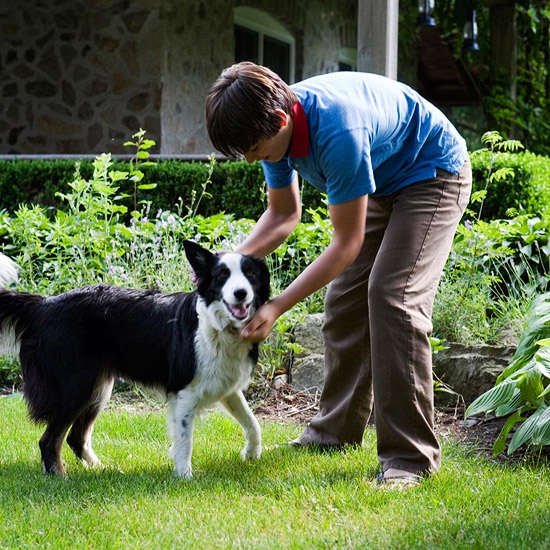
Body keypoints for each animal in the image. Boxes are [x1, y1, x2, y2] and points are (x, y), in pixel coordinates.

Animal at [0, 242, 272, 478]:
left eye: (249, 273)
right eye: (222, 275)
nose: (240, 293)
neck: (216, 326)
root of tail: (44, 303)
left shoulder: (226, 385)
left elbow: (253, 422)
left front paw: (252, 453)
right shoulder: (185, 391)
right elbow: (185, 439)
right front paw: (184, 477)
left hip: (98, 388)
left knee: (75, 437)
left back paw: (101, 469)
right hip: (76, 386)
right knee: (49, 440)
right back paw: (59, 476)